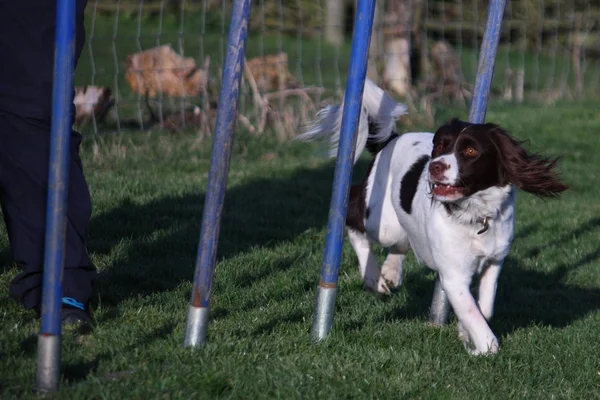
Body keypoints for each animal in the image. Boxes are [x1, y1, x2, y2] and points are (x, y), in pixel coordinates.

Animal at [298, 79, 568, 354]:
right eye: (440, 146)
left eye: (471, 150)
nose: (434, 166)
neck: (475, 214)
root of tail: (392, 140)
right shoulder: (454, 276)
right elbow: (473, 313)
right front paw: (485, 348)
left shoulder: (494, 260)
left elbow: (486, 307)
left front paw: (465, 332)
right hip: (381, 223)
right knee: (352, 217)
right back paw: (373, 278)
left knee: (402, 242)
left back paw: (391, 272)